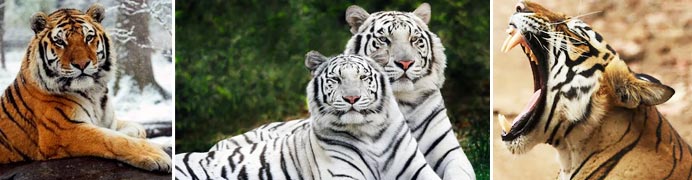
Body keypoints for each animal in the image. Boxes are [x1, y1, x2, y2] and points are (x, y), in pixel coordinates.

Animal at [0, 4, 172, 172]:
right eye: (60, 42)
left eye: (88, 38)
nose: (82, 64)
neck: (94, 92)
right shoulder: (65, 130)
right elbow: (113, 139)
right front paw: (156, 155)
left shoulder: (110, 121)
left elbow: (137, 127)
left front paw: (162, 145)